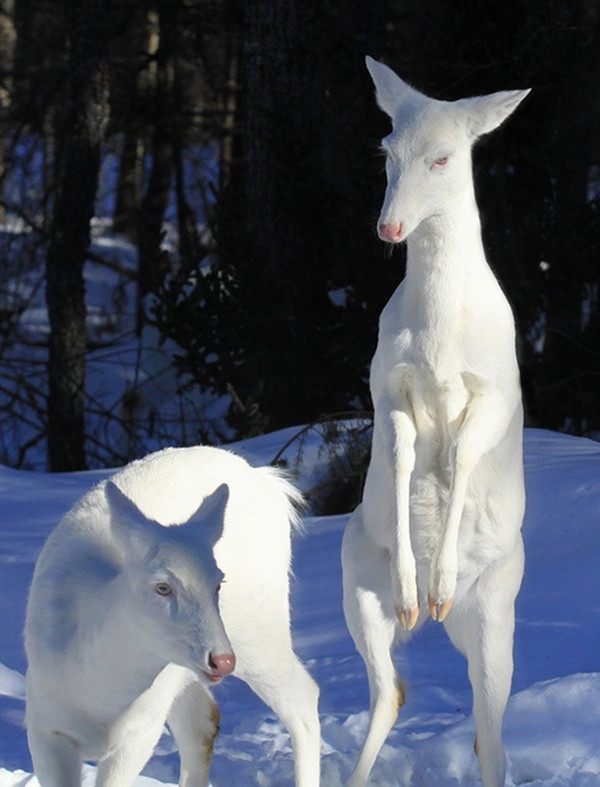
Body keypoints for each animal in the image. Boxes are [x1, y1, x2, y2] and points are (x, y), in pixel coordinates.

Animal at [25, 446, 322, 784]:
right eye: (162, 586)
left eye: (218, 582)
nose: (221, 660)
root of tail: (273, 485)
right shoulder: (43, 724)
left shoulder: (142, 730)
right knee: (203, 721)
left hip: (259, 628)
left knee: (303, 699)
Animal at [342, 58, 528, 784]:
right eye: (387, 150)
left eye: (443, 157)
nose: (389, 229)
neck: (439, 339)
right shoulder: (384, 383)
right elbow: (398, 454)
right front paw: (412, 582)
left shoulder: (496, 390)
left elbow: (463, 456)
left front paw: (440, 578)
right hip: (352, 581)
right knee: (391, 690)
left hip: (499, 606)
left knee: (490, 726)